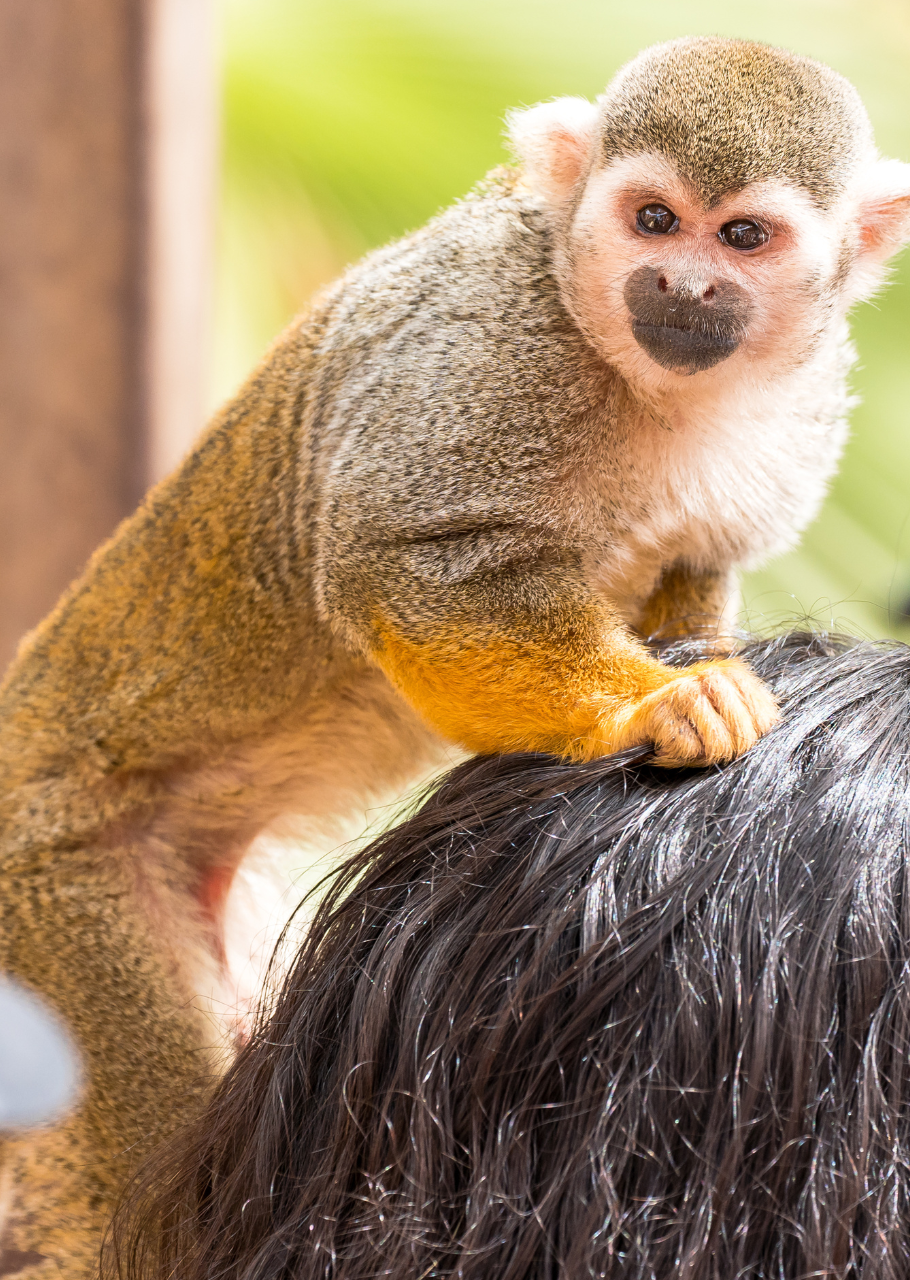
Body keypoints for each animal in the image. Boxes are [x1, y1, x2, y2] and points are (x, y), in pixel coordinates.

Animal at [0, 35, 909, 1279]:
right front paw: (655, 704)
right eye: (652, 218)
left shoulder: (801, 399)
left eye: (741, 237)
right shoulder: (486, 344)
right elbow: (401, 566)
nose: (680, 286)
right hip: (58, 879)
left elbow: (691, 569)